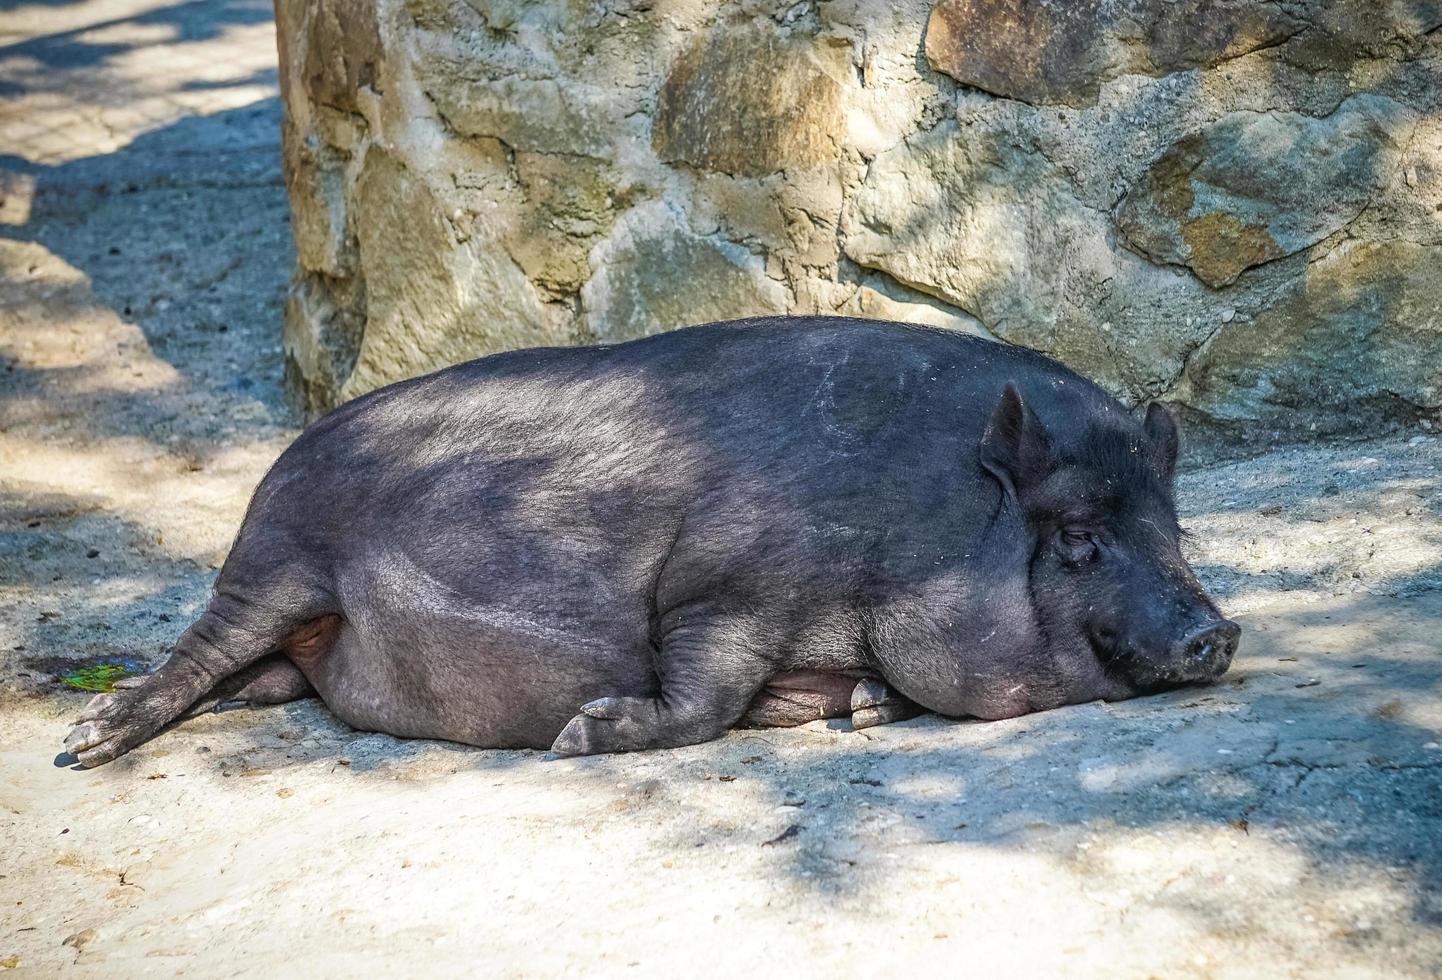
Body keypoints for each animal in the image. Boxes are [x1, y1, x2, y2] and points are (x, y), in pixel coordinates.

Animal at [62, 319, 1240, 766]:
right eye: (1079, 535)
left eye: (1170, 525)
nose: (1217, 631)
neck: (917, 529)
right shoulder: (723, 583)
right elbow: (704, 693)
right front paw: (579, 735)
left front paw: (860, 703)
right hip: (272, 556)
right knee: (191, 655)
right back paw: (85, 741)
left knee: (254, 678)